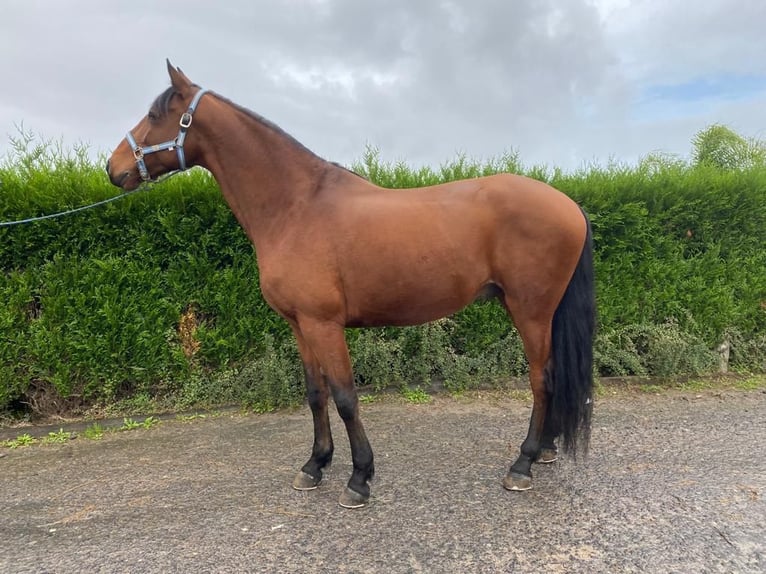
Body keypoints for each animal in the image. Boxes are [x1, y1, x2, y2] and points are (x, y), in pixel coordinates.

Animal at [105, 63, 596, 510]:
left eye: (155, 114)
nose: (113, 168)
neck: (296, 206)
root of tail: (569, 205)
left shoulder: (324, 324)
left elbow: (345, 397)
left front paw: (359, 478)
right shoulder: (300, 325)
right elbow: (315, 393)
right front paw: (315, 465)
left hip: (530, 310)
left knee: (541, 379)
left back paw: (522, 464)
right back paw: (546, 451)